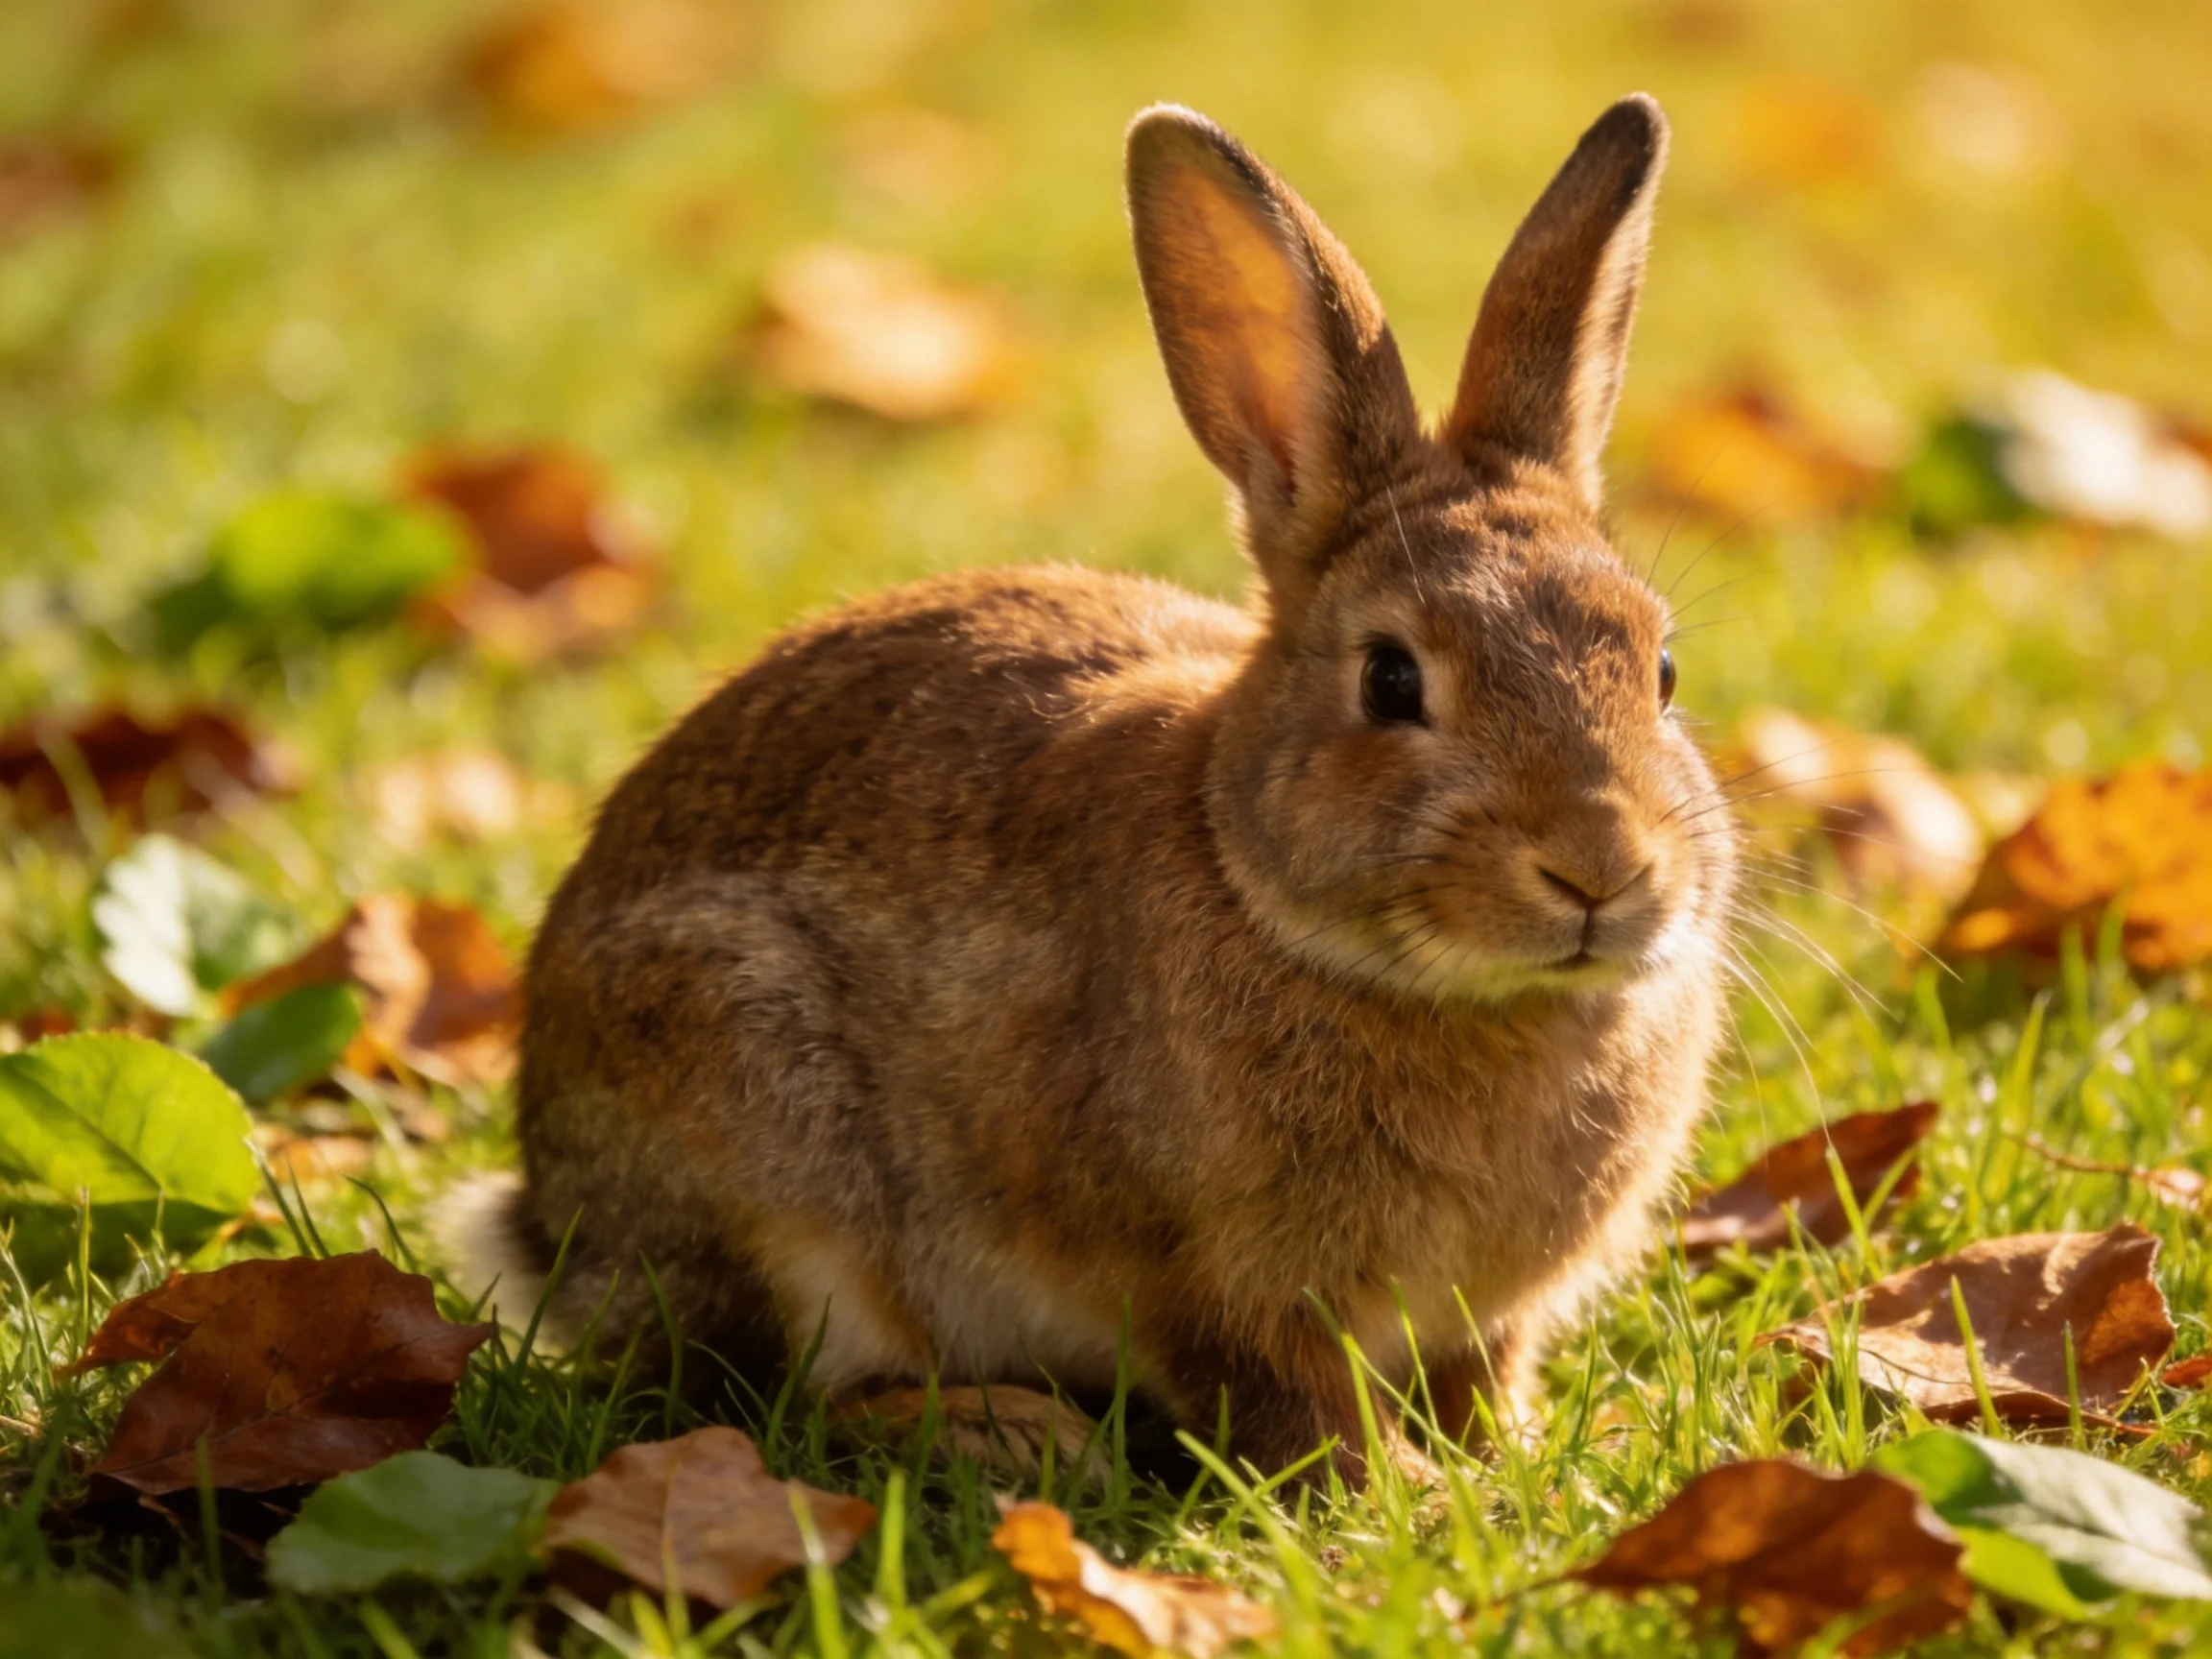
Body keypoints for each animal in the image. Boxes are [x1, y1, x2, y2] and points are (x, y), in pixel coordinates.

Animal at [451, 92, 1738, 1487]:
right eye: (1391, 679)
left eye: (1663, 668)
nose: (1599, 866)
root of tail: (552, 1224)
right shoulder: (1216, 1287)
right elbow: (1290, 1406)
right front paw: (1402, 1489)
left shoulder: (1484, 1320)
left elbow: (1483, 1380)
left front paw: (1514, 1463)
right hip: (756, 1131)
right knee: (777, 1395)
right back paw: (1015, 1435)